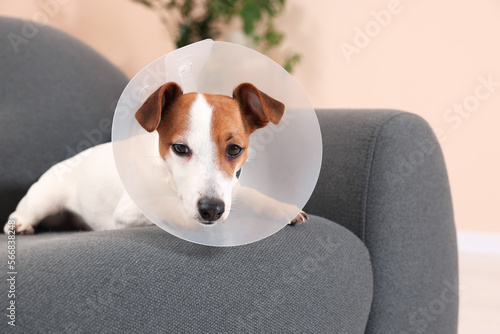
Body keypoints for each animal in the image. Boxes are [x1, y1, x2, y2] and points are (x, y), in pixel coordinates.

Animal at [3, 81, 306, 235]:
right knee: (19, 213)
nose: (211, 210)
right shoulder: (131, 210)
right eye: (180, 148)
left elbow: (253, 195)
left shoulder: (231, 190)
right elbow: (169, 208)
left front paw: (281, 207)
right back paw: (21, 225)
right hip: (43, 199)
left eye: (234, 150)